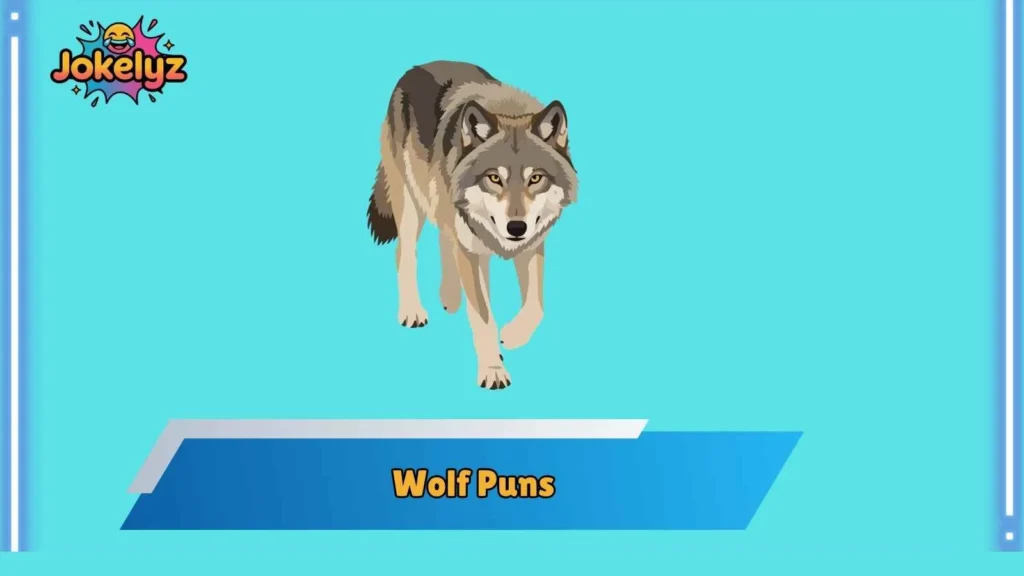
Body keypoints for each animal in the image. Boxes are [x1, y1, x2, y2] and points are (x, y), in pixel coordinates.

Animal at [366, 61, 577, 390]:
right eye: (494, 178)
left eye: (535, 178)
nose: (516, 228)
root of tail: (414, 68)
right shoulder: (472, 250)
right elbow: (483, 317)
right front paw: (493, 370)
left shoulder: (531, 246)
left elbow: (536, 306)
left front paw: (512, 336)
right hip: (412, 204)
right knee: (405, 253)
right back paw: (413, 310)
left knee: (445, 241)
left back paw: (450, 298)